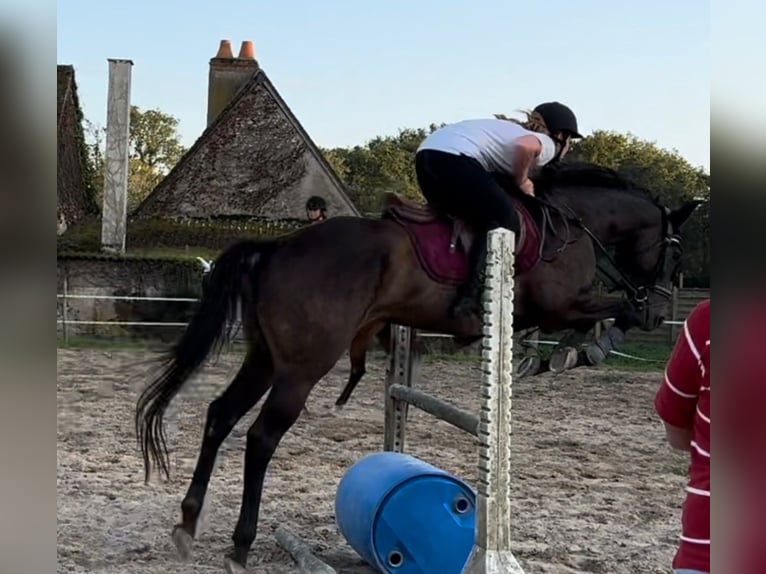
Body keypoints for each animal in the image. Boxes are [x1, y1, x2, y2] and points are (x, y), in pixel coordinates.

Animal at [134, 161, 704, 572]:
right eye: (674, 258)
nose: (660, 311)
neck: (569, 222)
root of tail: (279, 246)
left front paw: (548, 355)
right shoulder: (560, 305)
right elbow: (611, 310)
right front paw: (585, 349)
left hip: (265, 358)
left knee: (220, 415)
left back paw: (188, 523)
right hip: (302, 366)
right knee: (261, 436)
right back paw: (240, 543)